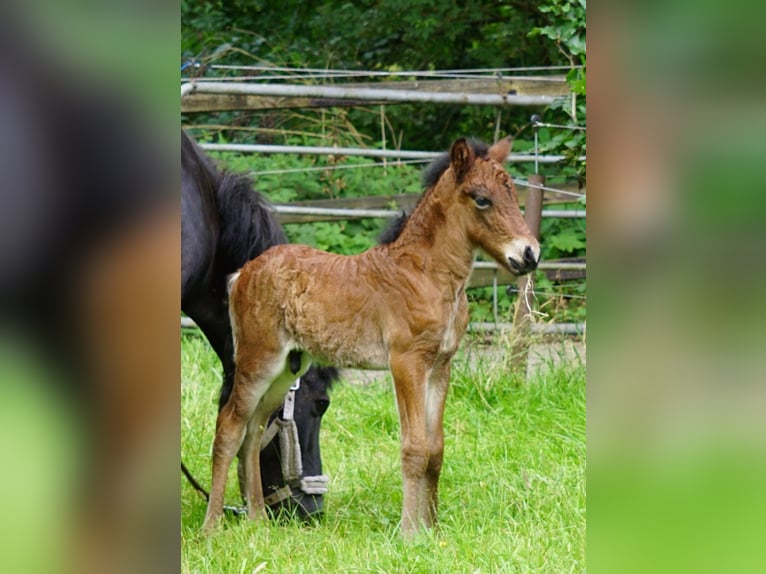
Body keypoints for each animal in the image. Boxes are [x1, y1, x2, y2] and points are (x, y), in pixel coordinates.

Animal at [203, 136, 540, 536]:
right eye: (482, 199)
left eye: (513, 192)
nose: (530, 254)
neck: (425, 274)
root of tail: (243, 272)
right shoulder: (407, 362)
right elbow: (415, 448)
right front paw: (410, 533)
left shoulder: (441, 365)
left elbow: (436, 448)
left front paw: (433, 528)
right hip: (259, 359)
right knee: (230, 426)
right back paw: (211, 527)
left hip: (286, 368)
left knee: (254, 431)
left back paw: (257, 522)